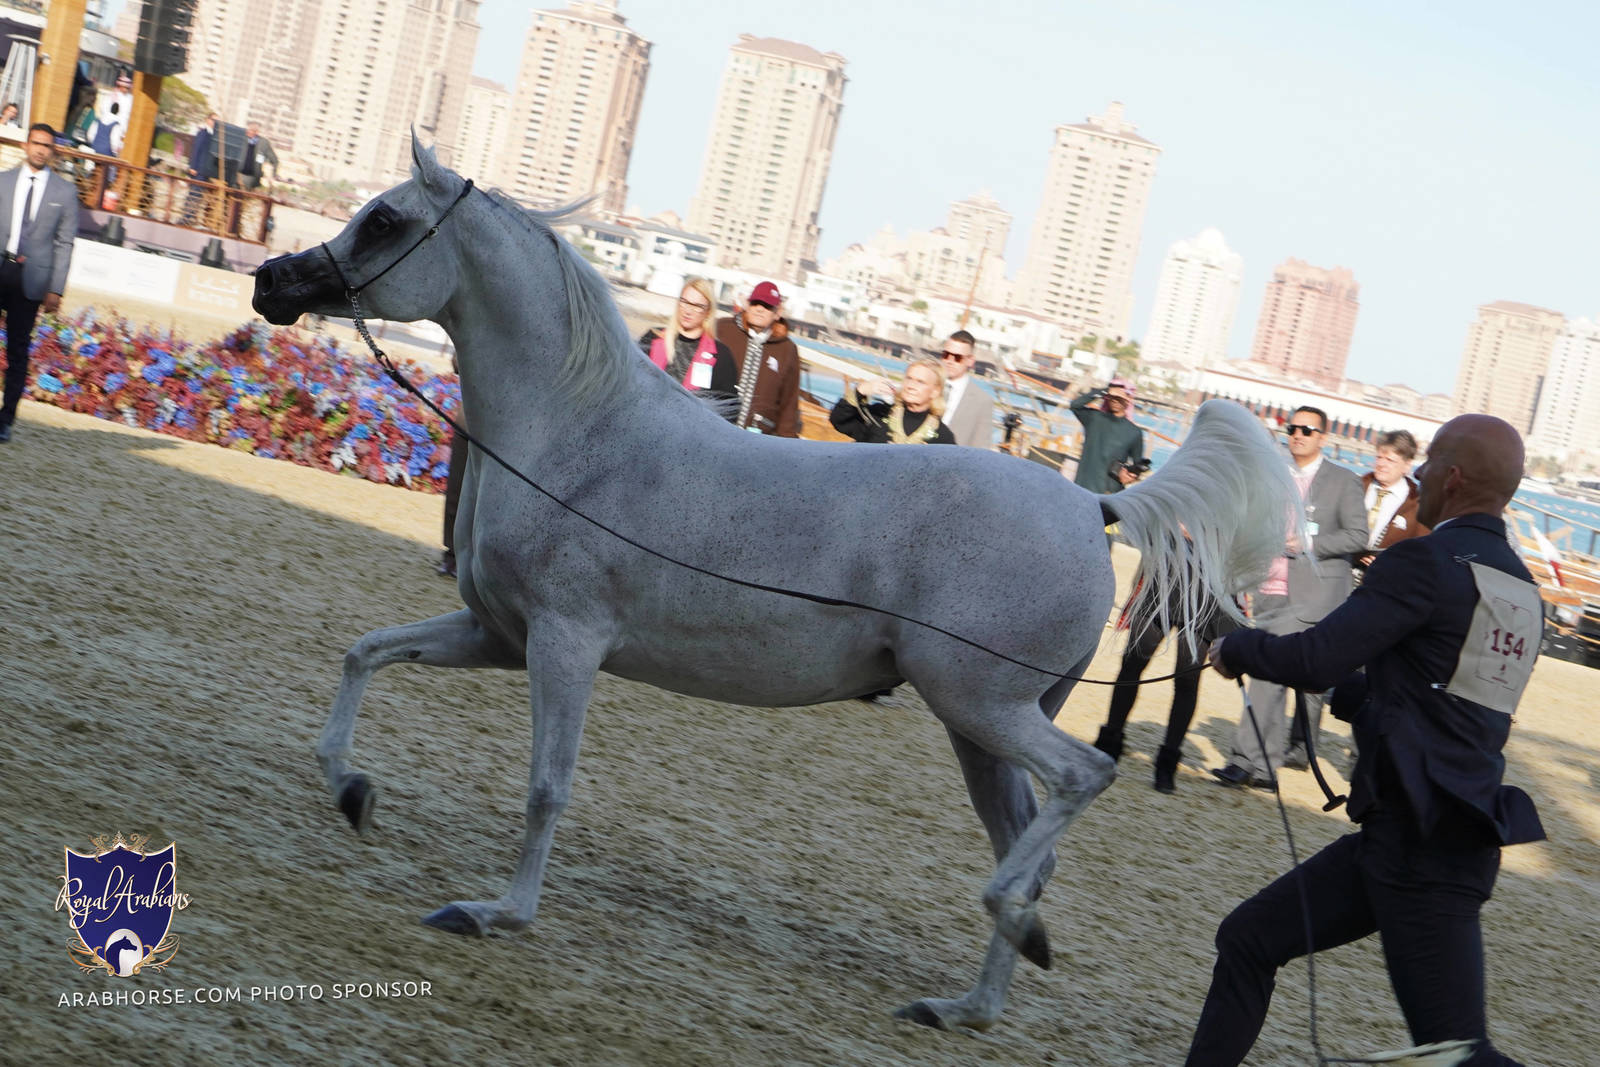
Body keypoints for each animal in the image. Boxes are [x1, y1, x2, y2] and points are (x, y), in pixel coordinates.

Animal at [251, 135, 1298, 1033]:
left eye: (385, 221)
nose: (272, 282)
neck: (576, 439)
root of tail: (1095, 506)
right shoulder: (498, 636)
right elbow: (365, 653)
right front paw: (350, 787)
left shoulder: (564, 643)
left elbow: (547, 785)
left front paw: (494, 910)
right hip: (979, 728)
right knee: (1025, 842)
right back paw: (968, 1002)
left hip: (982, 704)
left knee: (1081, 781)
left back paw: (1007, 930)